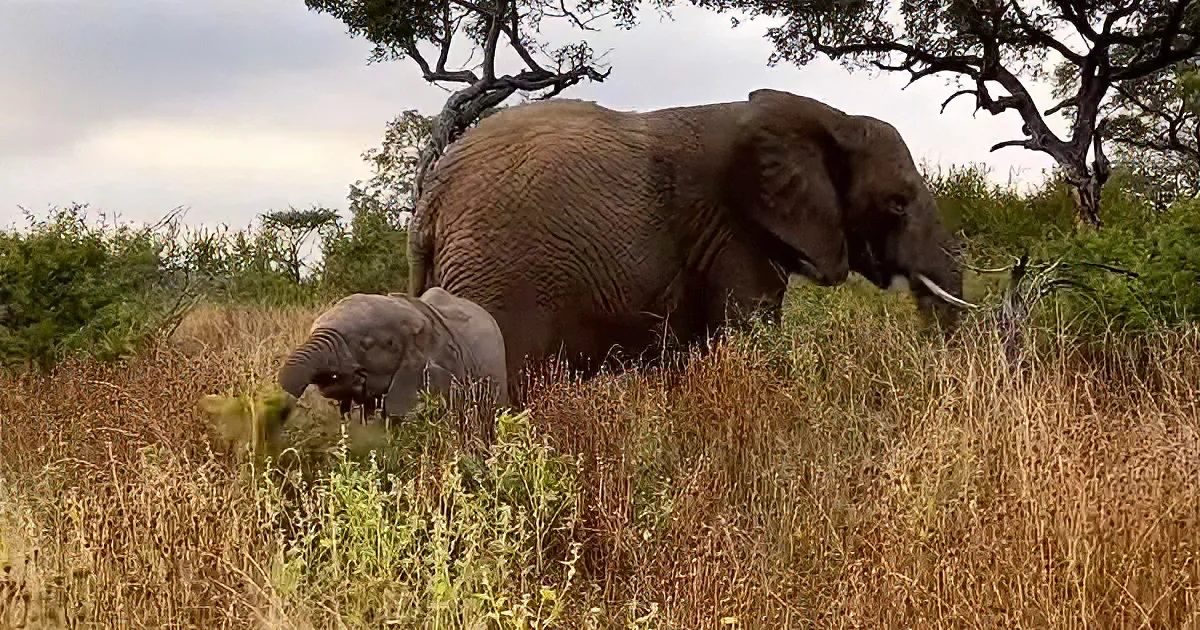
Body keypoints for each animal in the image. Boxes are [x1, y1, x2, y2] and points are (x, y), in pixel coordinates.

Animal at [408, 88, 974, 398]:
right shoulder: (733, 231)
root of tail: (431, 198)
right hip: (496, 279)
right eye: (897, 203)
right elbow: (749, 336)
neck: (829, 116)